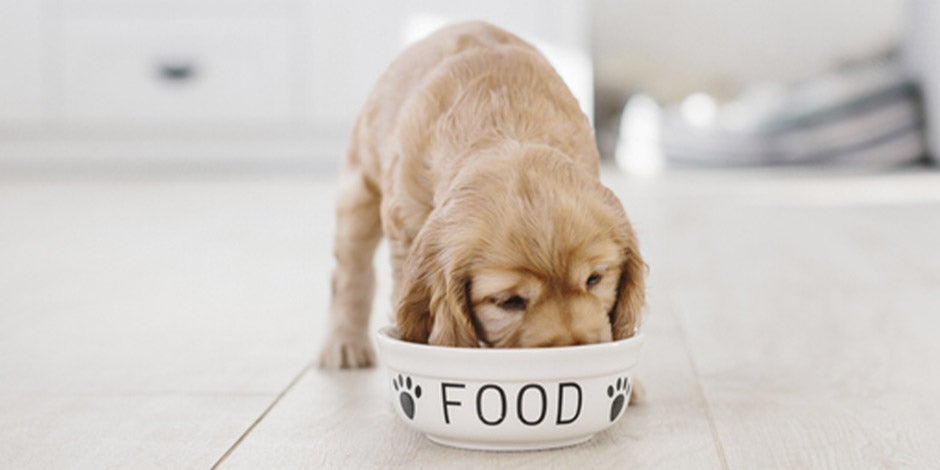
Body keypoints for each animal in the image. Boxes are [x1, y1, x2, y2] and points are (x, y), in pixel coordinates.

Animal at [320, 20, 644, 370]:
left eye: (594, 279)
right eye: (510, 302)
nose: (574, 351)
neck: (506, 125)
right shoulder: (406, 232)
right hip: (359, 191)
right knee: (349, 273)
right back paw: (344, 343)